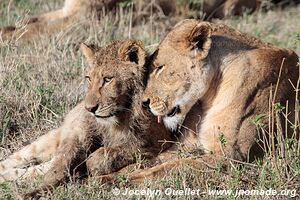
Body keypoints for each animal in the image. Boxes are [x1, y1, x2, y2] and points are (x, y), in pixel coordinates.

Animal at [0, 39, 172, 195]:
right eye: (89, 78)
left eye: (108, 79)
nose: (89, 109)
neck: (120, 116)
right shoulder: (78, 133)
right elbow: (60, 164)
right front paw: (40, 190)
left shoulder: (157, 142)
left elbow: (119, 150)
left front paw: (90, 165)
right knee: (18, 160)